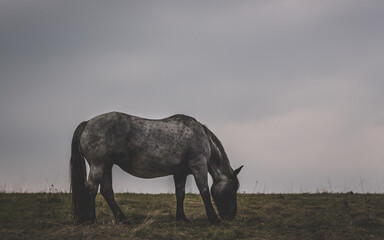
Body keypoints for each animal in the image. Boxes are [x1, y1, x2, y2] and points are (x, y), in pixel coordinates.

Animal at [70, 111, 243, 224]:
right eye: (233, 188)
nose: (231, 215)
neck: (199, 135)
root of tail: (87, 123)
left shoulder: (180, 173)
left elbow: (180, 194)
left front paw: (182, 218)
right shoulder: (199, 166)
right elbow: (205, 192)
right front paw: (214, 219)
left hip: (106, 166)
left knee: (107, 191)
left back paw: (122, 219)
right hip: (98, 165)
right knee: (92, 189)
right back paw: (92, 220)